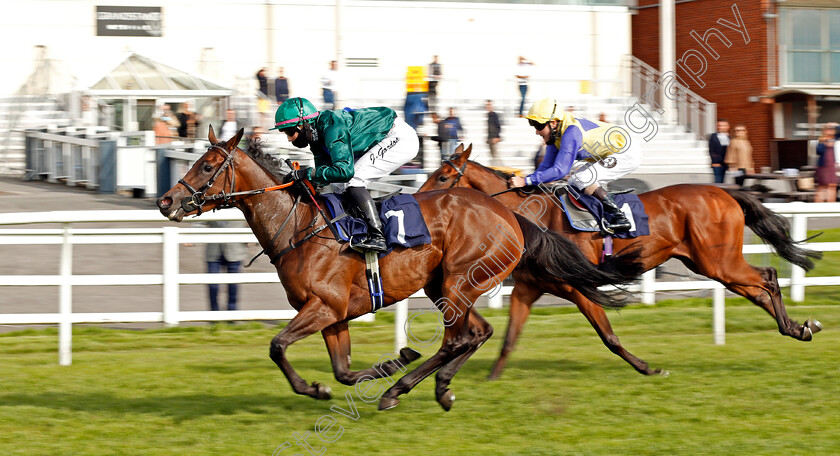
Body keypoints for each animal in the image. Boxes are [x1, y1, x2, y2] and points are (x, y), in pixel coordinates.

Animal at [156, 127, 636, 410]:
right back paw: (436, 386)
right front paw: (386, 363)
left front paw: (330, 385)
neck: (300, 225)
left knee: (458, 338)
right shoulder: (334, 314)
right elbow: (343, 370)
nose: (165, 201)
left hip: (459, 281)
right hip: (445, 286)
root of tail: (510, 215)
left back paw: (399, 391)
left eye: (207, 165)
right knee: (477, 333)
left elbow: (278, 347)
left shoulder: (323, 307)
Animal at [420, 144, 820, 380]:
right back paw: (796, 328)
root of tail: (724, 191)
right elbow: (509, 338)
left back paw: (798, 327)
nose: (419, 201)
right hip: (710, 264)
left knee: (767, 276)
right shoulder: (528, 289)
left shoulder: (576, 286)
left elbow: (608, 336)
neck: (533, 217)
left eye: (443, 175)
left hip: (719, 261)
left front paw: (648, 368)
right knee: (758, 288)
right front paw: (488, 380)